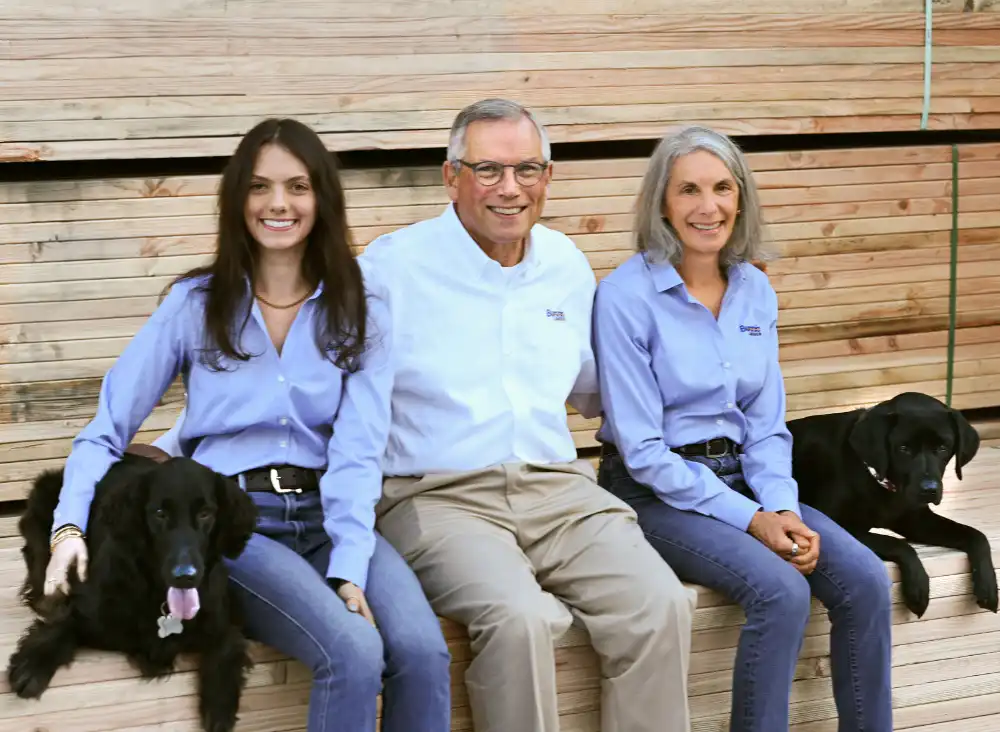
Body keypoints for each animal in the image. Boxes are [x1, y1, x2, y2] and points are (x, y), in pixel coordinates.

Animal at [7, 452, 258, 732]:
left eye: (206, 514)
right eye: (159, 513)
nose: (185, 576)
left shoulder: (223, 621)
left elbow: (227, 648)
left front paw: (220, 708)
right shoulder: (90, 608)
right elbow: (64, 624)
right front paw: (33, 663)